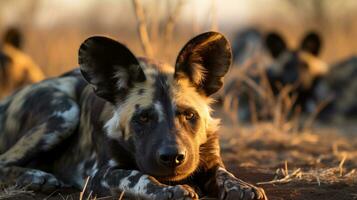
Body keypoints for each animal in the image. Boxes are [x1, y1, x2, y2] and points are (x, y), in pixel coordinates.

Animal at [0, 32, 268, 199]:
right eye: (144, 118)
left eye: (189, 115)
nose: (173, 157)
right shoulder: (100, 175)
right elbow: (140, 177)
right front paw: (169, 191)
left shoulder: (210, 159)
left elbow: (223, 173)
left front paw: (242, 186)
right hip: (66, 112)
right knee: (4, 161)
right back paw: (38, 177)